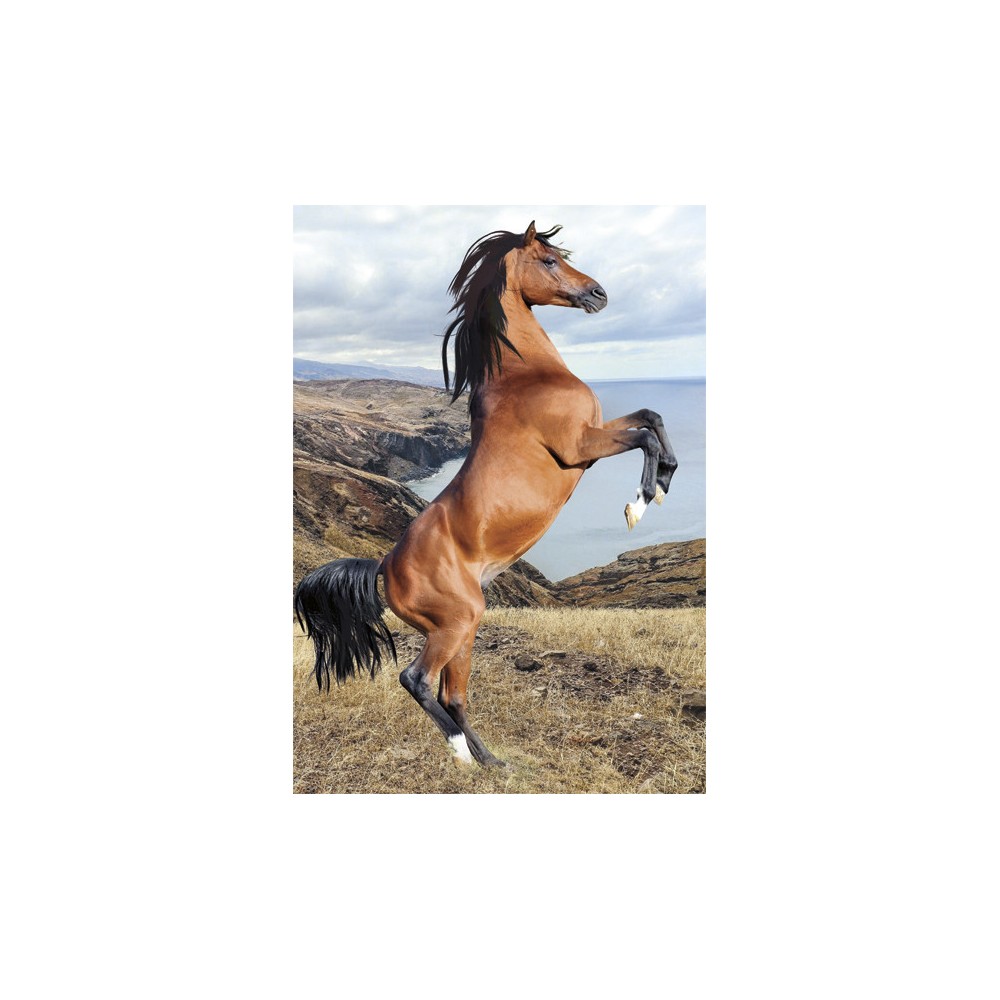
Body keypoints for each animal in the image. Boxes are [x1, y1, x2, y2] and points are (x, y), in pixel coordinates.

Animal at [295, 221, 678, 767]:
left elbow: (652, 416)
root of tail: (384, 565)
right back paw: (460, 753)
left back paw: (491, 762)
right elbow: (646, 432)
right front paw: (640, 504)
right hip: (457, 622)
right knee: (416, 679)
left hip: (462, 628)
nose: (599, 294)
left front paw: (663, 482)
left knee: (453, 694)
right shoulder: (580, 445)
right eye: (549, 260)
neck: (526, 374)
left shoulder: (595, 433)